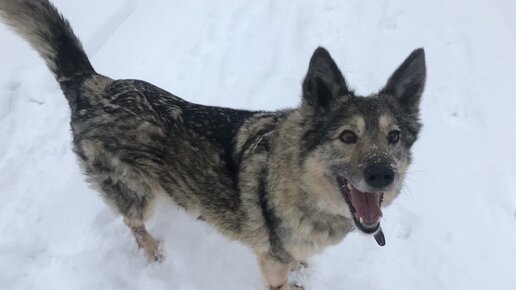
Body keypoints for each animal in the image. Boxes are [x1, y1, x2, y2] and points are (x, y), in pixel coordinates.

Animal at [0, 1, 426, 288]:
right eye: (347, 136)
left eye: (393, 137)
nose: (383, 175)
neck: (302, 185)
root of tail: (91, 83)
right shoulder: (271, 265)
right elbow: (283, 279)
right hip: (138, 193)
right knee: (132, 221)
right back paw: (153, 251)